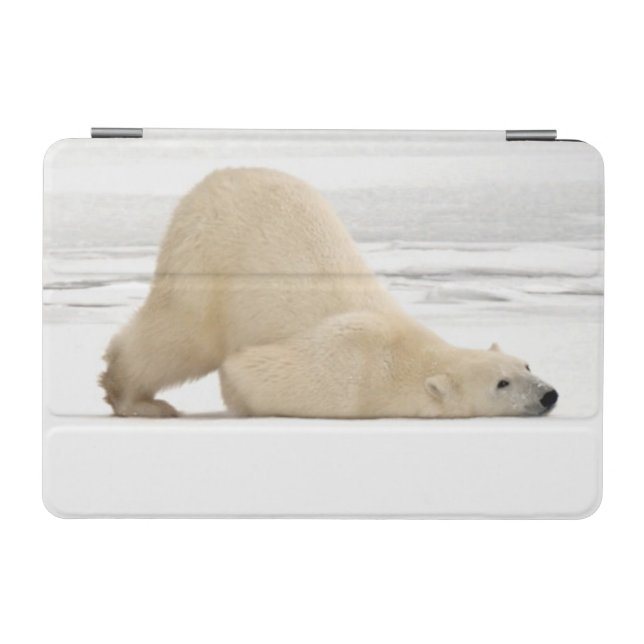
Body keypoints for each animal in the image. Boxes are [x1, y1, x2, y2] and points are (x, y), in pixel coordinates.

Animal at [100, 167, 558, 418]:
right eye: (502, 383)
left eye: (527, 364)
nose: (548, 394)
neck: (407, 355)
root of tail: (215, 179)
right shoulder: (350, 371)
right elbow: (246, 369)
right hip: (210, 258)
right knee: (179, 337)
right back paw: (137, 400)